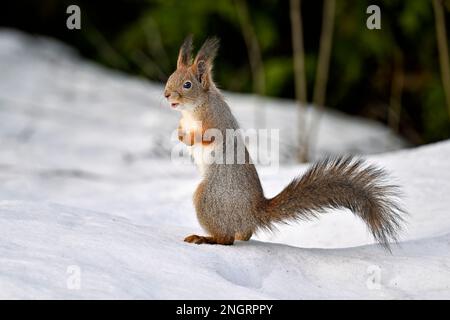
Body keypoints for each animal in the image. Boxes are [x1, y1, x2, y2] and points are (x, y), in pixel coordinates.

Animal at [164, 35, 404, 250]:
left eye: (187, 85)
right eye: (170, 78)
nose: (166, 95)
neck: (193, 109)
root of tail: (252, 214)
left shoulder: (215, 121)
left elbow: (209, 137)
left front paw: (189, 138)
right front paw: (180, 135)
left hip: (208, 198)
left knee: (227, 240)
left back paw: (204, 238)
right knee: (243, 236)